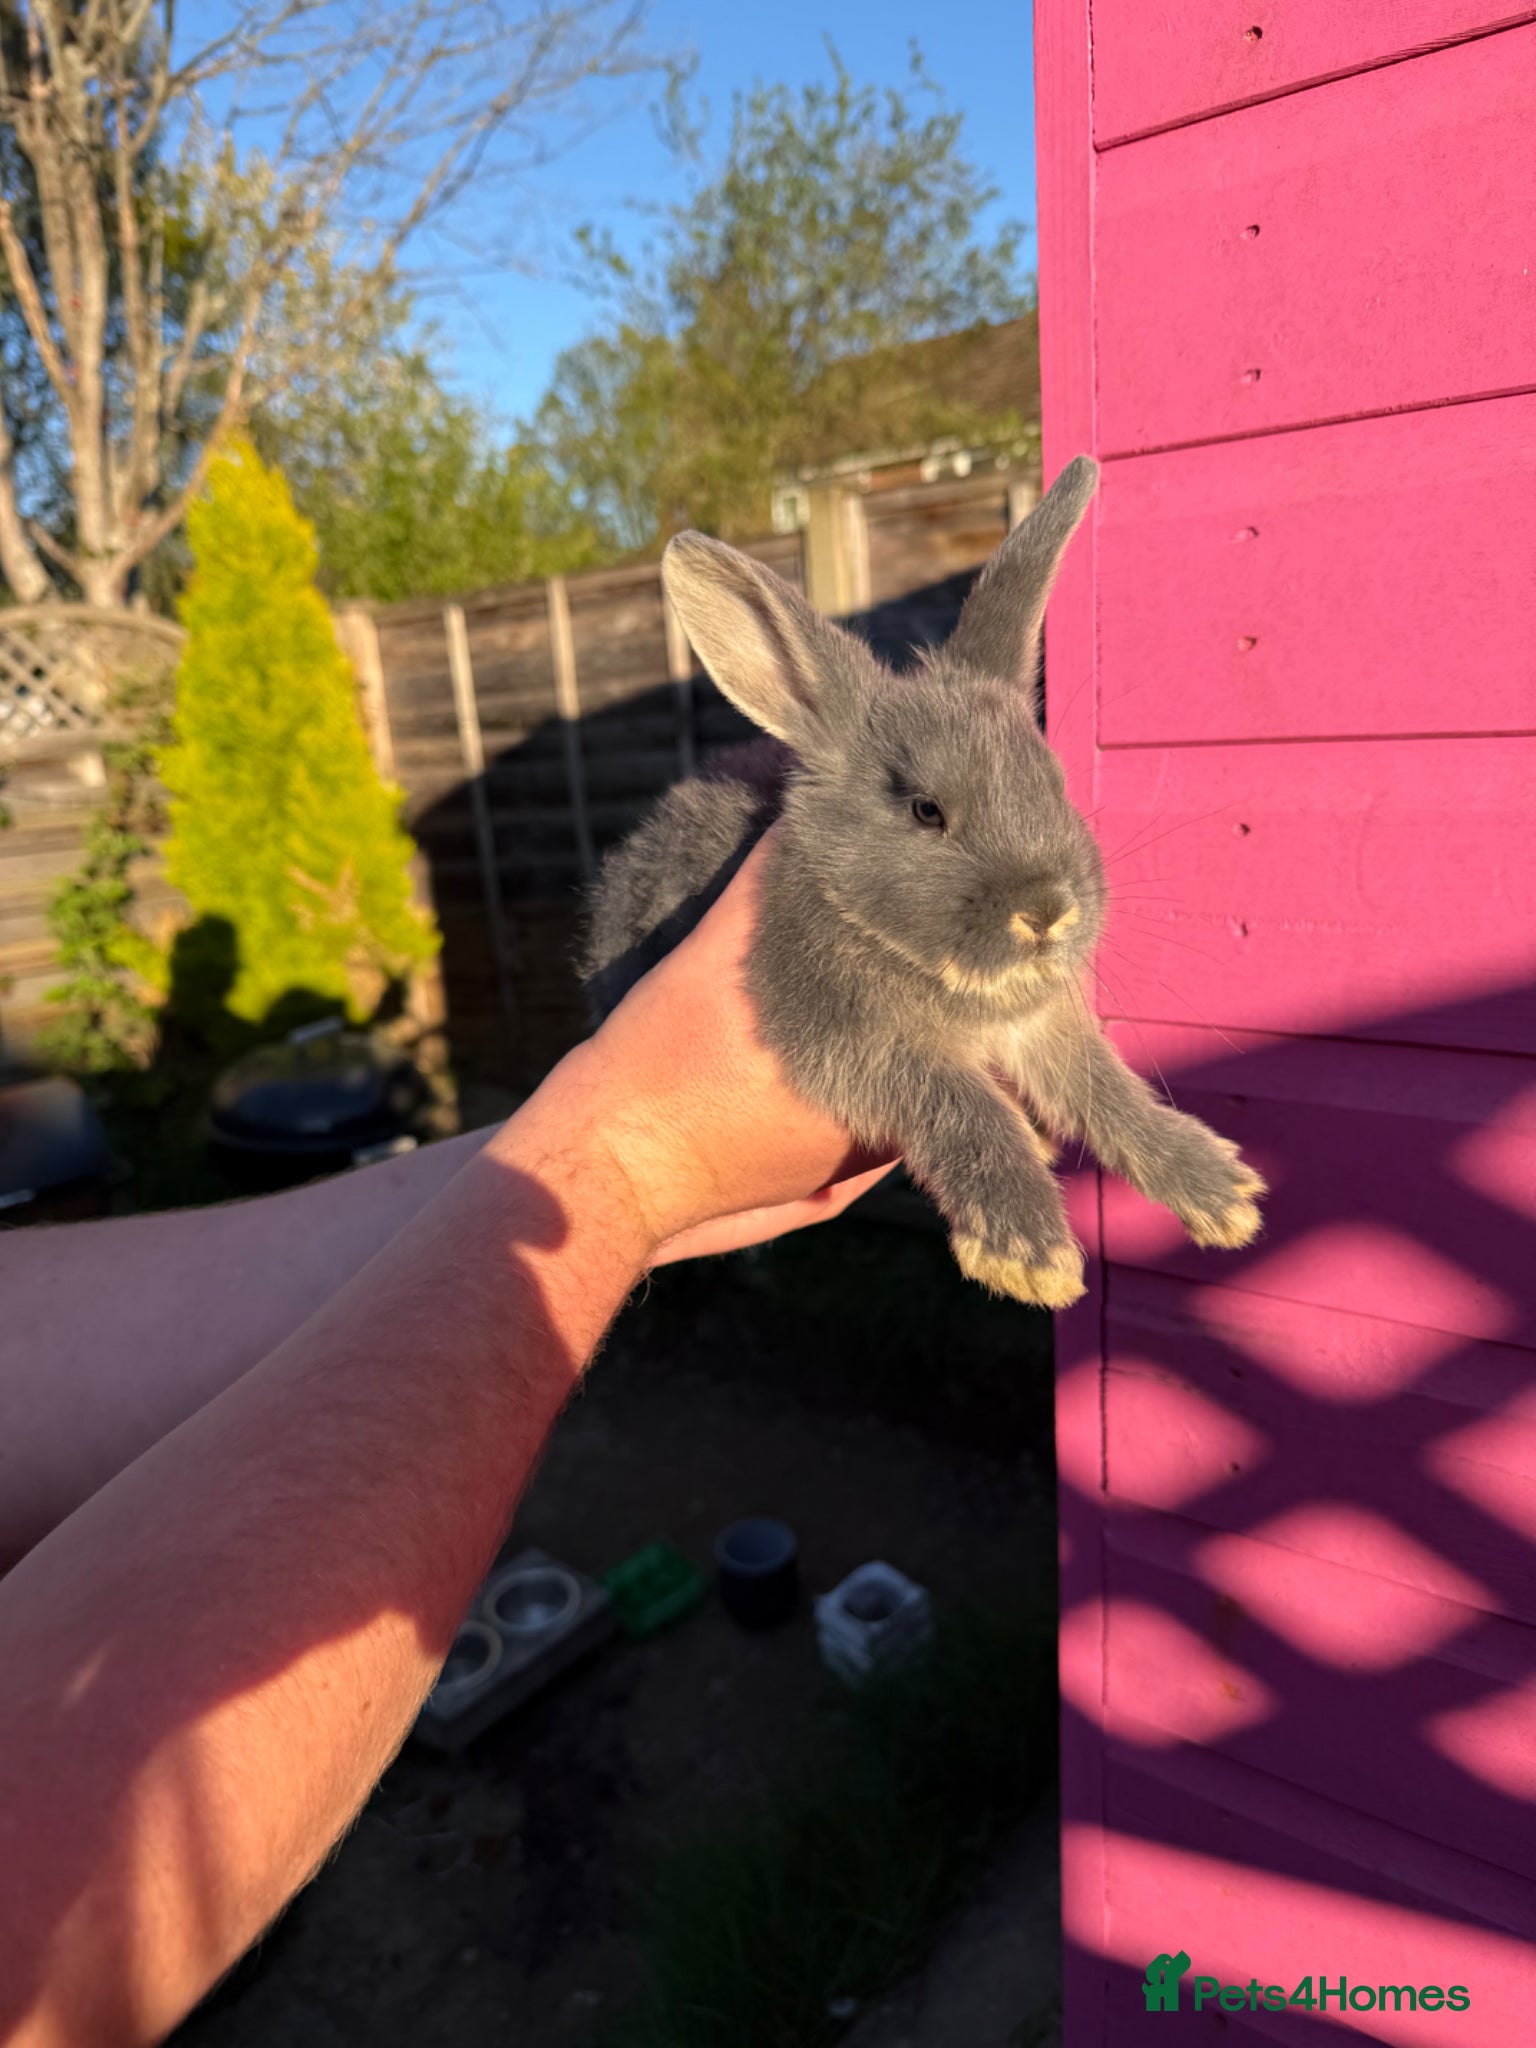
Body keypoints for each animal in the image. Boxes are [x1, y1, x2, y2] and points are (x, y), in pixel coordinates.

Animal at [580, 456, 1265, 1307]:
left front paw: (1219, 1192)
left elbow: (1103, 1087)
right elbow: (961, 1102)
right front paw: (1027, 1252)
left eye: (1055, 785)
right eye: (926, 810)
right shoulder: (850, 1039)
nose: (1047, 912)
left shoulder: (1045, 1029)